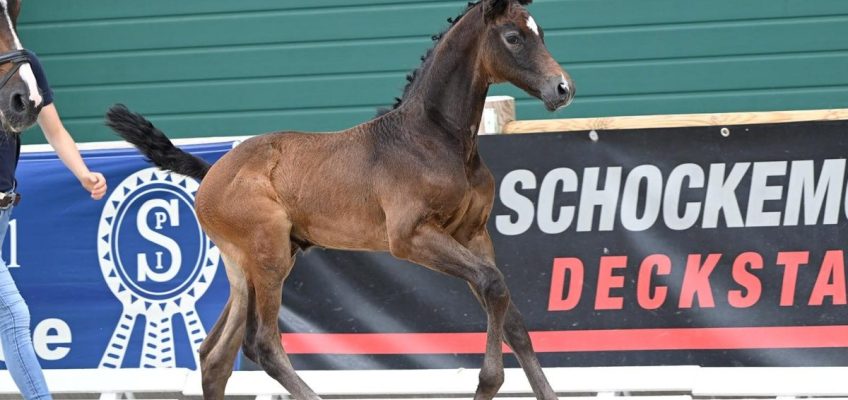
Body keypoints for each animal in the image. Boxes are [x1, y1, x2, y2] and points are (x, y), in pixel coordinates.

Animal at [106, 1, 568, 398]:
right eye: (513, 37)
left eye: (541, 33)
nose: (562, 88)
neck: (434, 138)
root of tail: (213, 171)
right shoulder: (411, 238)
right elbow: (493, 285)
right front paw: (489, 382)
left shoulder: (472, 235)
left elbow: (511, 315)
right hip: (269, 257)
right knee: (263, 345)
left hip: (245, 267)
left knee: (215, 354)